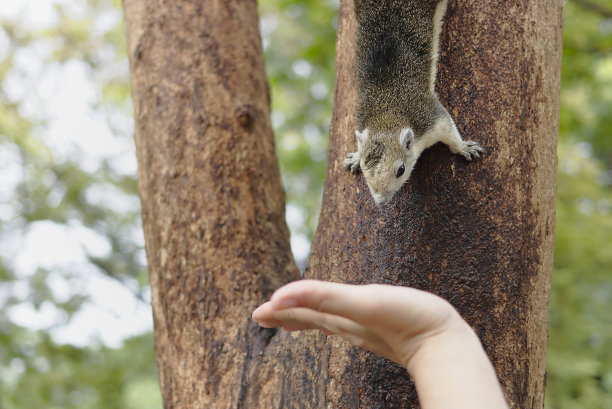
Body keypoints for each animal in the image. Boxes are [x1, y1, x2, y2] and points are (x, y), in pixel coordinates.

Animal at [344, 0, 482, 204]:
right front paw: (354, 157)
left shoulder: (429, 117)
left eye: (401, 170)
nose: (380, 202)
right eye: (364, 167)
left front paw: (463, 147)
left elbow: (449, 131)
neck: (386, 116)